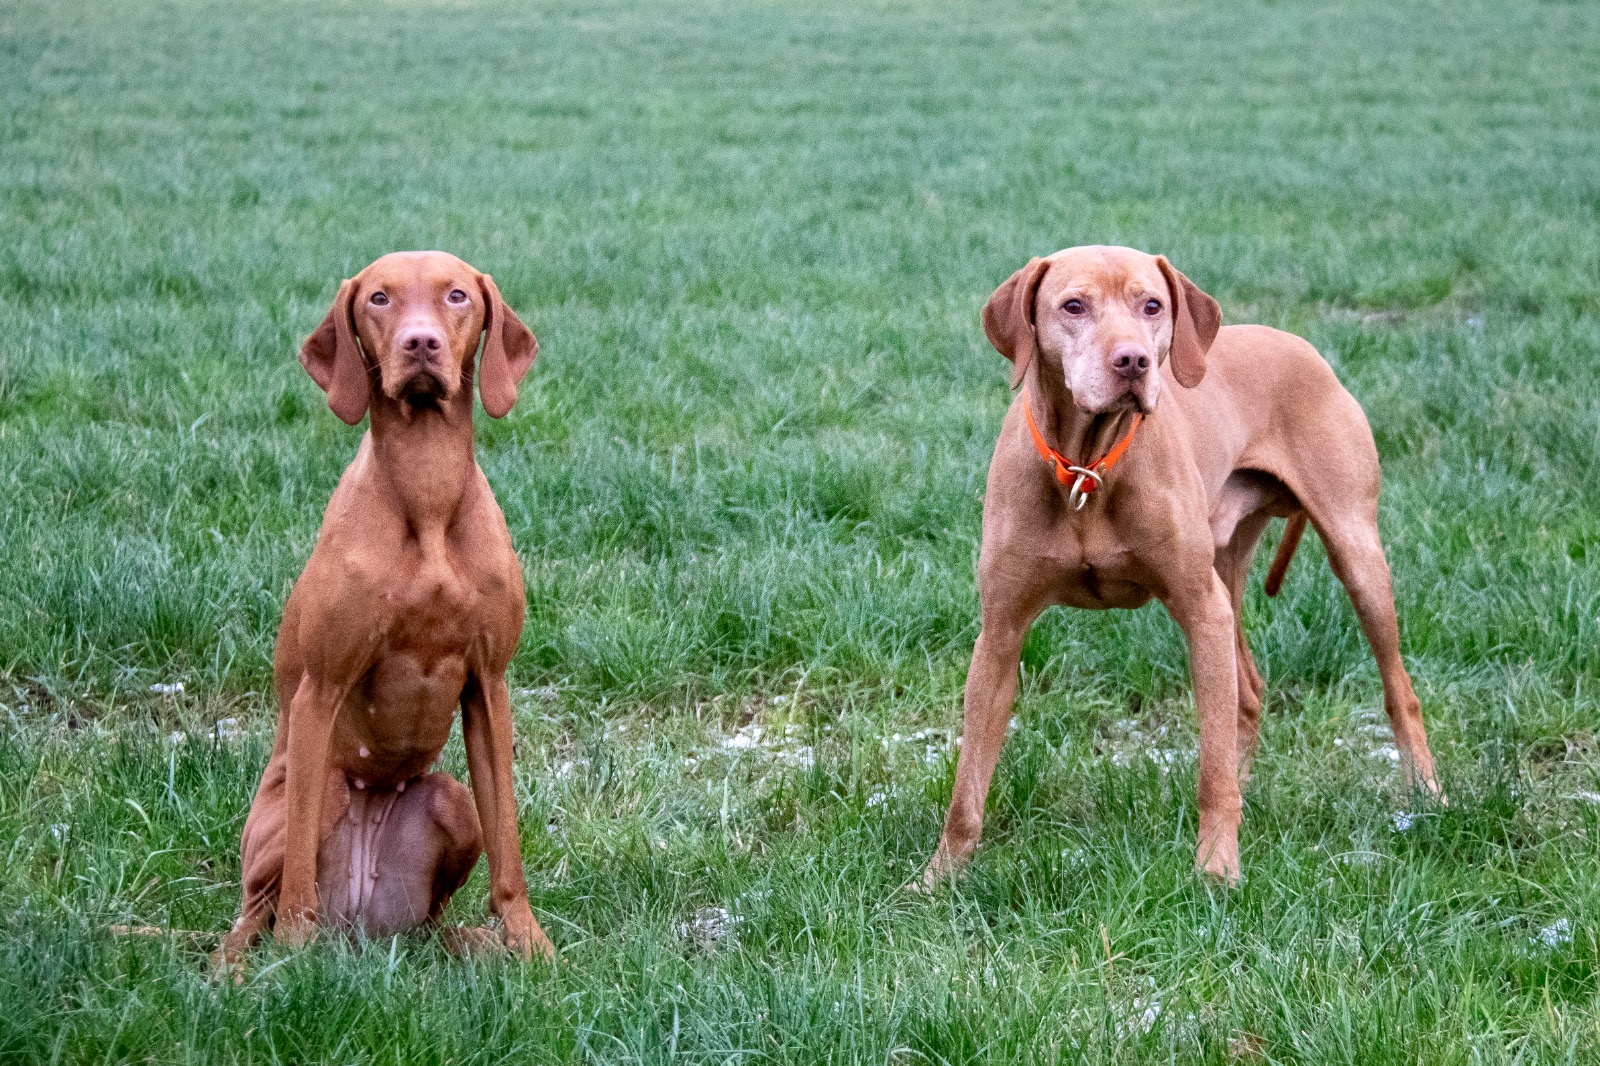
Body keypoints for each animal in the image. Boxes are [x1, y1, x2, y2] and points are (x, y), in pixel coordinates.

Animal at [217, 251, 550, 964]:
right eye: (378, 298)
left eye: (456, 296)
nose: (420, 343)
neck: (427, 488)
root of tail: (359, 931)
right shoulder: (320, 688)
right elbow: (293, 886)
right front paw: (293, 953)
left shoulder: (490, 684)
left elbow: (508, 840)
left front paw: (528, 942)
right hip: (307, 798)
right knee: (247, 921)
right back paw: (253, 964)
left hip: (449, 800)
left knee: (431, 917)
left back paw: (464, 944)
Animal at [920, 245, 1440, 886]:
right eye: (1073, 305)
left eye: (1152, 305)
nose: (1133, 361)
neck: (1088, 469)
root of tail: (1302, 347)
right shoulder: (999, 633)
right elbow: (967, 787)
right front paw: (939, 879)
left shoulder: (1201, 610)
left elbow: (1210, 772)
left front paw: (1217, 868)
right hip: (1227, 567)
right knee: (1248, 693)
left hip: (1354, 555)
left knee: (1397, 691)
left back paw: (1428, 794)